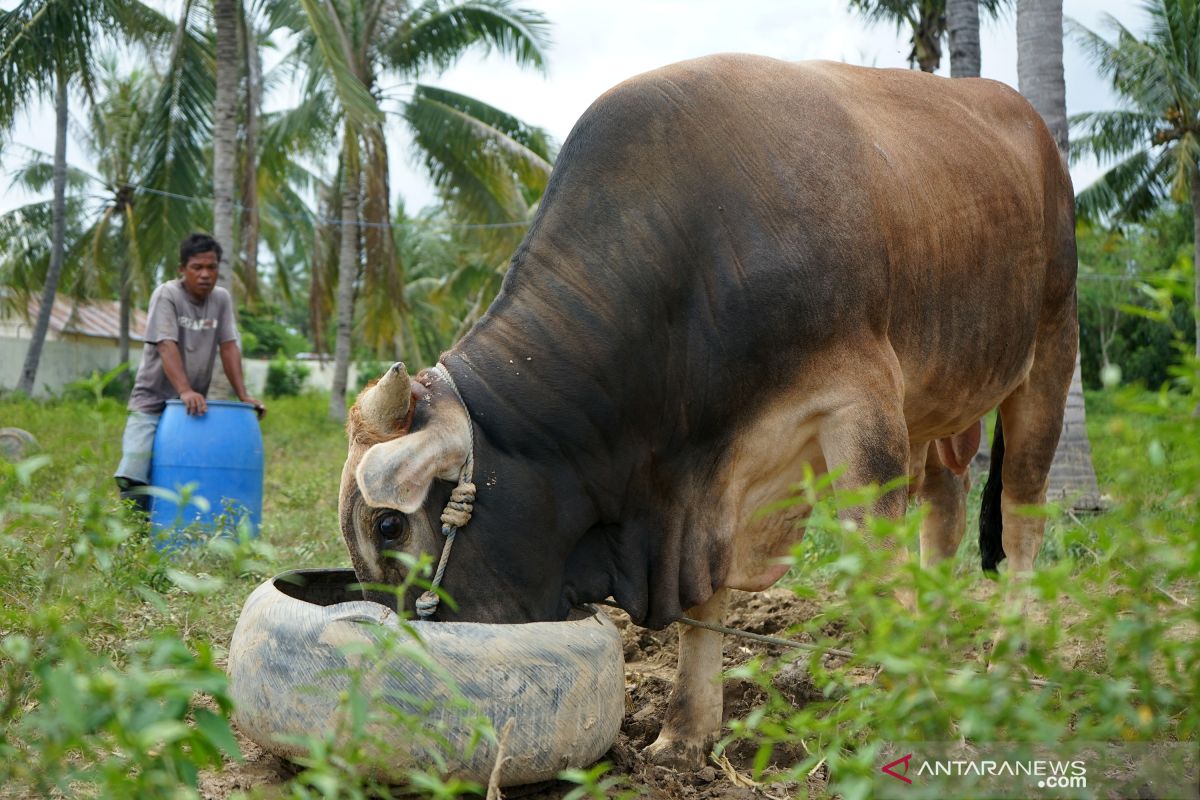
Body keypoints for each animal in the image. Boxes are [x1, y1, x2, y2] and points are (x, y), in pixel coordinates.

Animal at [338, 53, 1080, 767]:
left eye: (388, 526)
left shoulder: (862, 407)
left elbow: (878, 567)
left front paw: (912, 721)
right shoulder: (704, 489)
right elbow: (706, 601)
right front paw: (685, 734)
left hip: (1050, 348)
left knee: (1021, 513)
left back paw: (1012, 660)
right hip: (938, 401)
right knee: (945, 511)